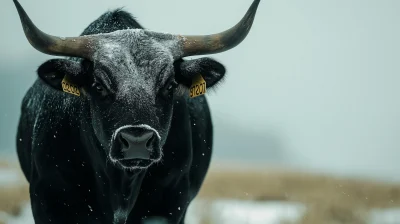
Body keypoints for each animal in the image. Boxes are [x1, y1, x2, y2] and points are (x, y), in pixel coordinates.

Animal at [12, 0, 260, 224]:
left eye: (170, 85)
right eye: (99, 86)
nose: (137, 141)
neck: (121, 189)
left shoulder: (169, 206)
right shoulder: (49, 202)